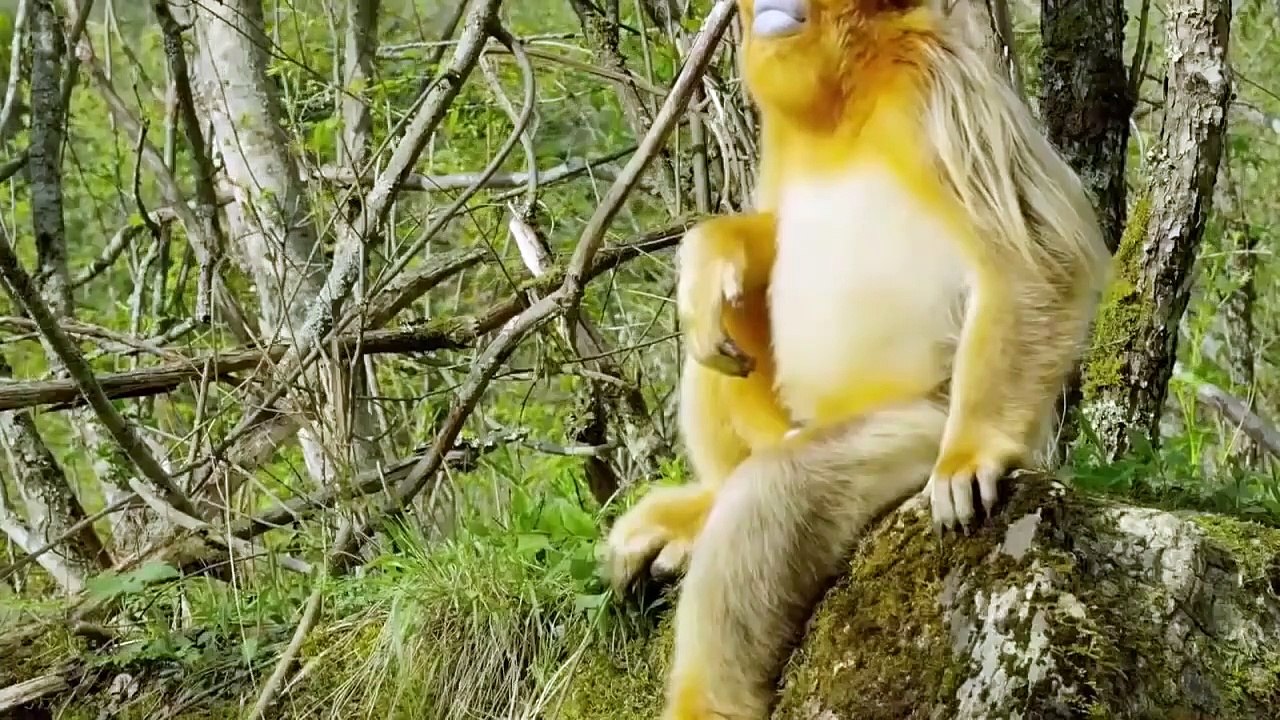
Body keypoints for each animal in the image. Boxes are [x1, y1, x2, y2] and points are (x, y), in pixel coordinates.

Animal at [600, 0, 1112, 718]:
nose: (774, 11)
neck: (842, 97)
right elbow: (767, 234)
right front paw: (712, 250)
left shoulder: (937, 80)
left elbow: (1037, 253)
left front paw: (975, 452)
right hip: (784, 417)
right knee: (718, 334)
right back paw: (702, 504)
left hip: (915, 424)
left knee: (778, 490)